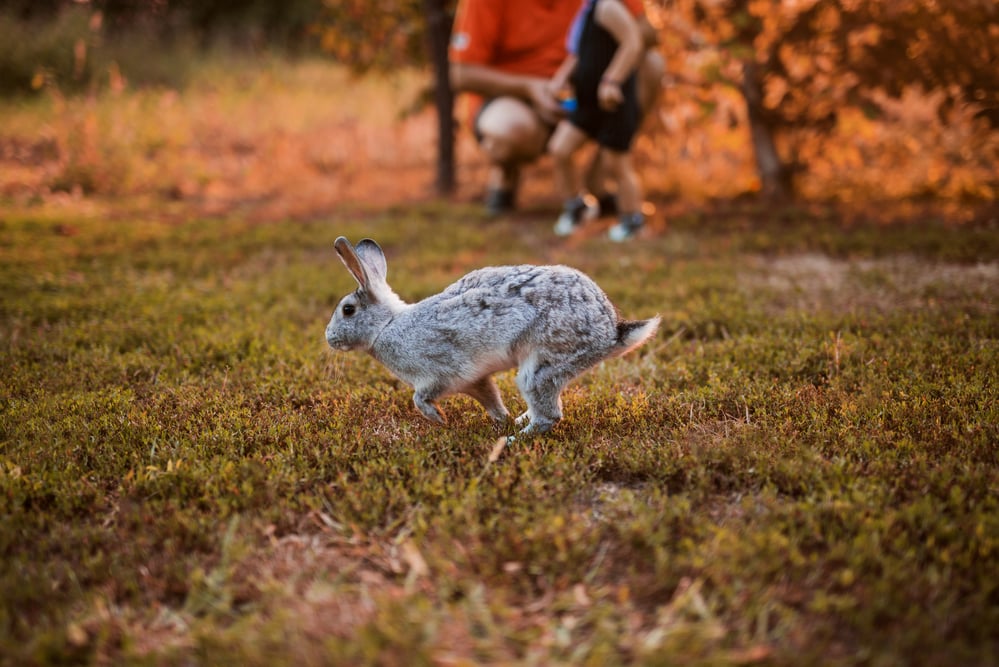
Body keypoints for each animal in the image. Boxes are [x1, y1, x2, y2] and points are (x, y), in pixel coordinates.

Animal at [324, 237, 660, 436]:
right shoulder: (475, 380)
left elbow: (420, 398)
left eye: (348, 310)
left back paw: (514, 440)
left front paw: (439, 419)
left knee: (549, 416)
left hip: (542, 368)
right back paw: (517, 423)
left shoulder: (442, 373)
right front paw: (500, 419)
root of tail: (610, 332)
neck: (387, 325)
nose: (328, 338)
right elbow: (490, 398)